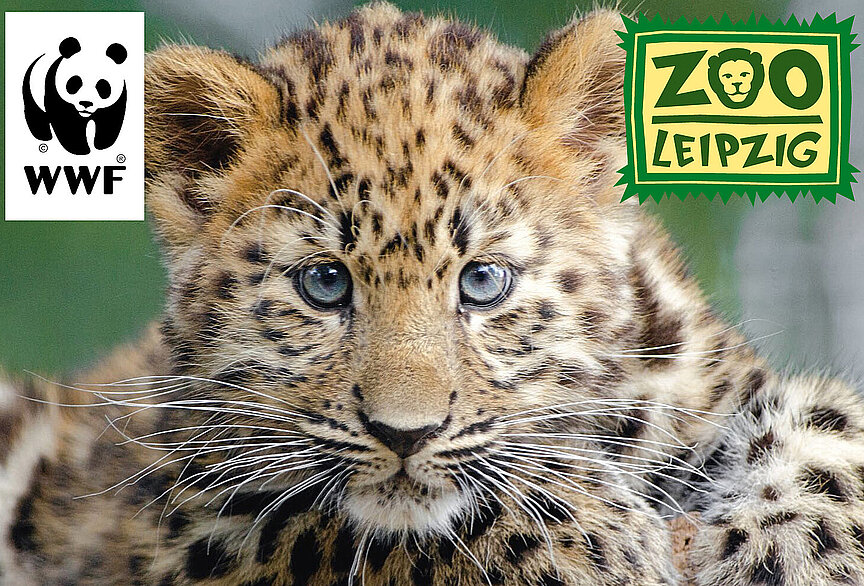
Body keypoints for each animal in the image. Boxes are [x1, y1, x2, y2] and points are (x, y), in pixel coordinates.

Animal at [2, 3, 864, 585]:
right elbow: (348, 518)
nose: (403, 435)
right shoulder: (178, 521)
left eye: (483, 283)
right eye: (325, 284)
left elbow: (829, 431)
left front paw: (790, 547)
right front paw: (603, 542)